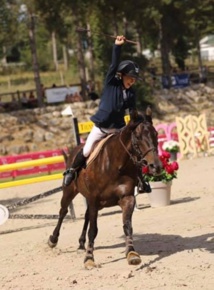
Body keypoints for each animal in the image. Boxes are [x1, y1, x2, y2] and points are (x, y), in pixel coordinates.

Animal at [48, 108, 162, 268]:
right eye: (138, 137)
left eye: (156, 134)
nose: (156, 166)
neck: (116, 165)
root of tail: (75, 149)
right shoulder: (94, 200)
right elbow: (93, 230)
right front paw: (89, 258)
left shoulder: (127, 198)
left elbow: (127, 226)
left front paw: (132, 253)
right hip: (70, 192)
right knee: (63, 211)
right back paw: (53, 240)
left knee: (86, 216)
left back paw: (81, 243)